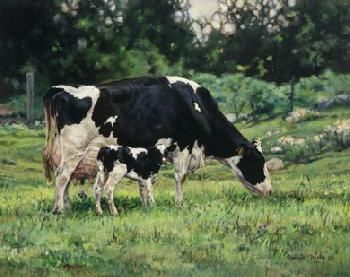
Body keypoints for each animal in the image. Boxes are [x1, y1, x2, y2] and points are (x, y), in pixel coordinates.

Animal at [43, 75, 274, 213]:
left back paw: (67, 206)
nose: (271, 191)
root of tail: (61, 89)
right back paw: (59, 209)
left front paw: (146, 203)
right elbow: (180, 176)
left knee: (66, 178)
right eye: (258, 162)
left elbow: (148, 182)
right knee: (62, 176)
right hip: (74, 149)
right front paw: (179, 203)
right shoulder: (183, 145)